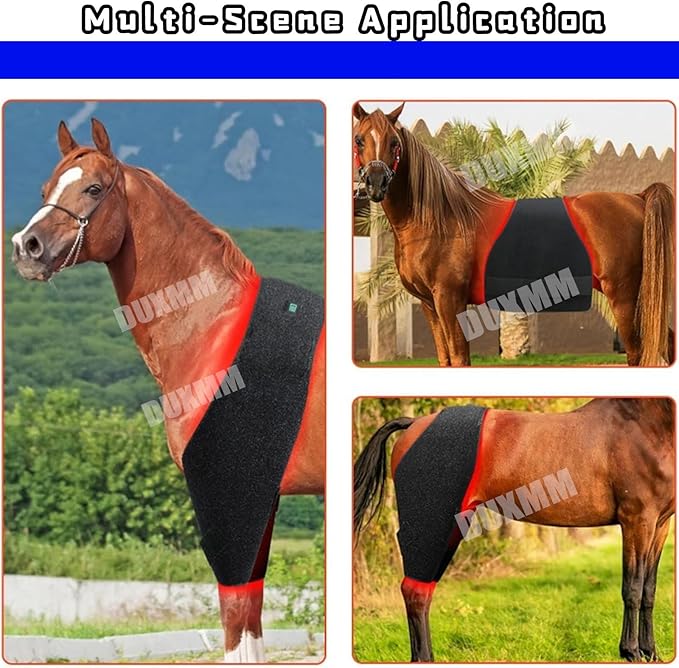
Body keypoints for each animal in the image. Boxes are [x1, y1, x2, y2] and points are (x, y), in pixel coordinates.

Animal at [11, 119, 326, 663]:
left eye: (94, 189)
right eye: (46, 189)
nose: (25, 246)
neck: (212, 328)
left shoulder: (227, 494)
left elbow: (235, 615)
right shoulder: (260, 499)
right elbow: (252, 612)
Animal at [352, 103, 675, 367]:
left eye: (394, 142)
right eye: (359, 139)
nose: (376, 183)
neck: (439, 219)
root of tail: (637, 198)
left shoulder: (449, 299)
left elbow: (459, 358)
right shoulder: (429, 304)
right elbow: (446, 359)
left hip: (624, 295)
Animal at [354, 398, 675, 662]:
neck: (646, 423)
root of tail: (413, 425)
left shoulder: (660, 524)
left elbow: (649, 588)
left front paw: (651, 652)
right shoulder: (637, 520)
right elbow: (633, 587)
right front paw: (631, 652)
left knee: (422, 590)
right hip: (432, 524)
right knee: (415, 591)